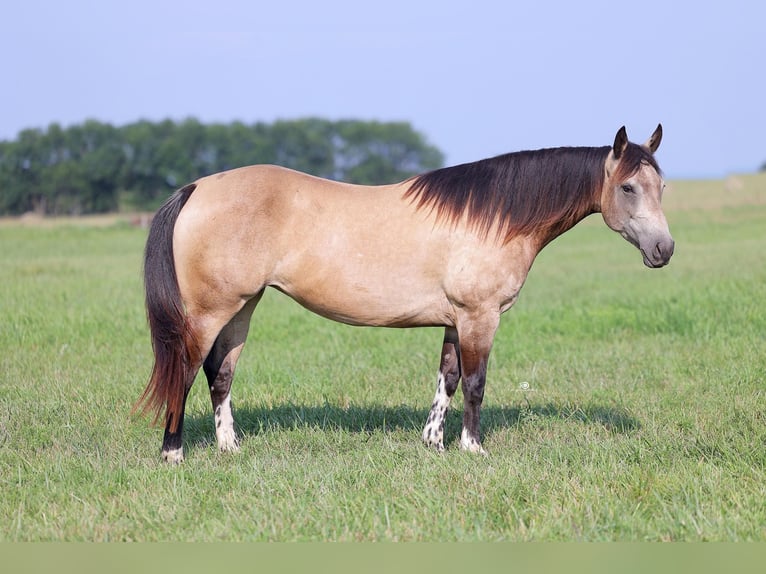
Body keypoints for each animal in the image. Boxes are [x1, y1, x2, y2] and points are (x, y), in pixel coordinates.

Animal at [135, 125, 676, 464]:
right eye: (628, 187)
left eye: (662, 186)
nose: (664, 249)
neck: (492, 217)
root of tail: (198, 187)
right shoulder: (479, 317)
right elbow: (476, 384)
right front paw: (473, 448)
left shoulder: (455, 320)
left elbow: (448, 380)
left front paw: (433, 442)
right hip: (210, 311)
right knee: (186, 370)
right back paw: (173, 452)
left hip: (242, 307)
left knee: (220, 374)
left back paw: (230, 448)